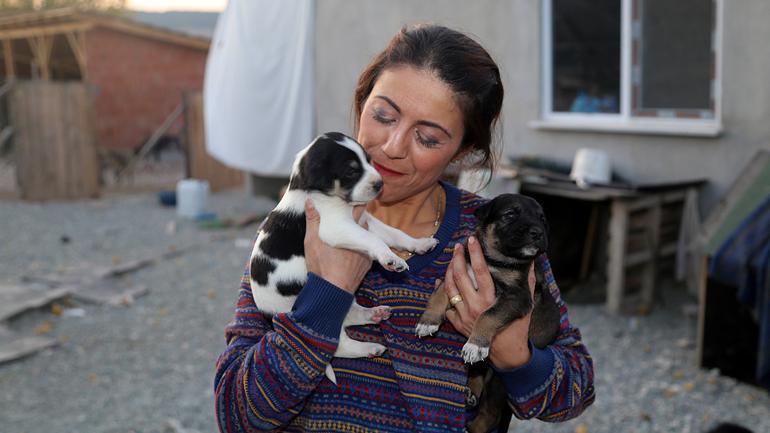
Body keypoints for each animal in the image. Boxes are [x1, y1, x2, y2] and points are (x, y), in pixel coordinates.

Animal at [249, 132, 436, 382]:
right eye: (351, 172)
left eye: (369, 160)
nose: (380, 184)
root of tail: (268, 315)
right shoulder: (336, 227)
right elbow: (374, 240)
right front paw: (391, 259)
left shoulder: (366, 219)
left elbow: (394, 234)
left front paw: (420, 243)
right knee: (339, 345)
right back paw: (369, 348)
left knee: (351, 314)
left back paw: (374, 314)